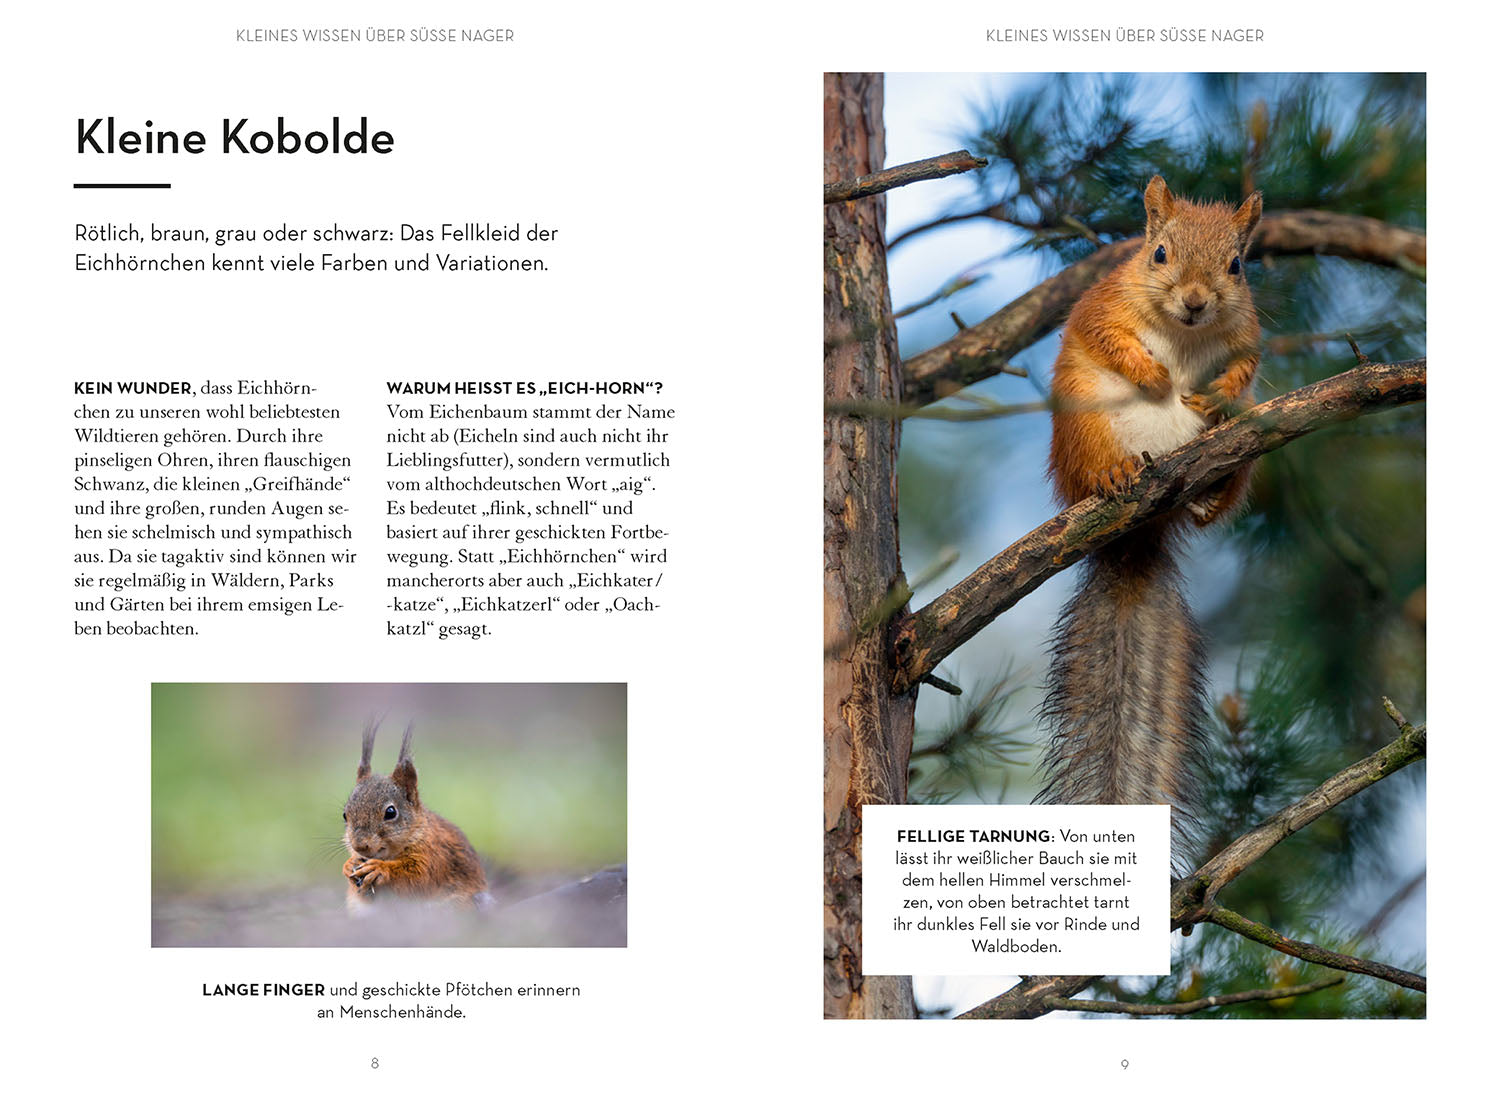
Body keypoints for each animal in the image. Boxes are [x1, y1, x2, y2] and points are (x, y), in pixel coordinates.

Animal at [342, 720, 489, 914]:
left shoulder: (435, 855)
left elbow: (418, 877)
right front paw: (349, 865)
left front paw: (379, 868)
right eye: (345, 815)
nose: (359, 845)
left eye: (391, 812)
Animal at [1038, 175, 1262, 858]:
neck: (1183, 334)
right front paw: (1152, 373)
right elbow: (1107, 335)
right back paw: (1111, 476)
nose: (1194, 301)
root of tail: (1139, 532)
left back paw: (1211, 491)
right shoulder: (1101, 303)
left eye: (1237, 266)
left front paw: (1216, 391)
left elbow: (1246, 363)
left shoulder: (1247, 333)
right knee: (1093, 465)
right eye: (1159, 254)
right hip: (1083, 422)